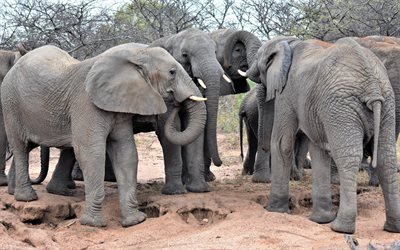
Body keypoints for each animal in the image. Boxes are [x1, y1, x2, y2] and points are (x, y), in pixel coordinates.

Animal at [3, 44, 208, 228]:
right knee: (20, 147)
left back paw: (16, 193)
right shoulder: (86, 104)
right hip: (10, 106)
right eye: (172, 72)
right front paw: (93, 224)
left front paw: (135, 221)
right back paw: (27, 198)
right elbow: (92, 154)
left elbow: (126, 152)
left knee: (27, 147)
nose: (176, 102)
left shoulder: (120, 105)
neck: (136, 54)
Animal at [241, 37, 400, 234]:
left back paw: (341, 228)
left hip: (341, 107)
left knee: (348, 158)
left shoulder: (287, 92)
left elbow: (282, 143)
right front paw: (320, 220)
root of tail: (371, 84)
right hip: (387, 103)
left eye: (259, 58)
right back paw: (393, 227)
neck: (289, 42)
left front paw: (275, 210)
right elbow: (318, 151)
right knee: (387, 158)